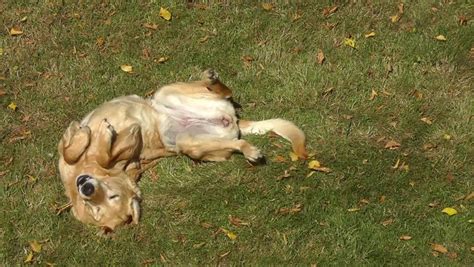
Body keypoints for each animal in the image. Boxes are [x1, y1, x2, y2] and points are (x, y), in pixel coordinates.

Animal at [58, 69, 308, 232]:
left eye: (113, 196)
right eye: (95, 209)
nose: (85, 188)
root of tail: (232, 120)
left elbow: (77, 150)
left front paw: (95, 133)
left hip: (165, 93)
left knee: (222, 91)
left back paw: (211, 78)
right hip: (190, 145)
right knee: (236, 141)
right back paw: (250, 152)